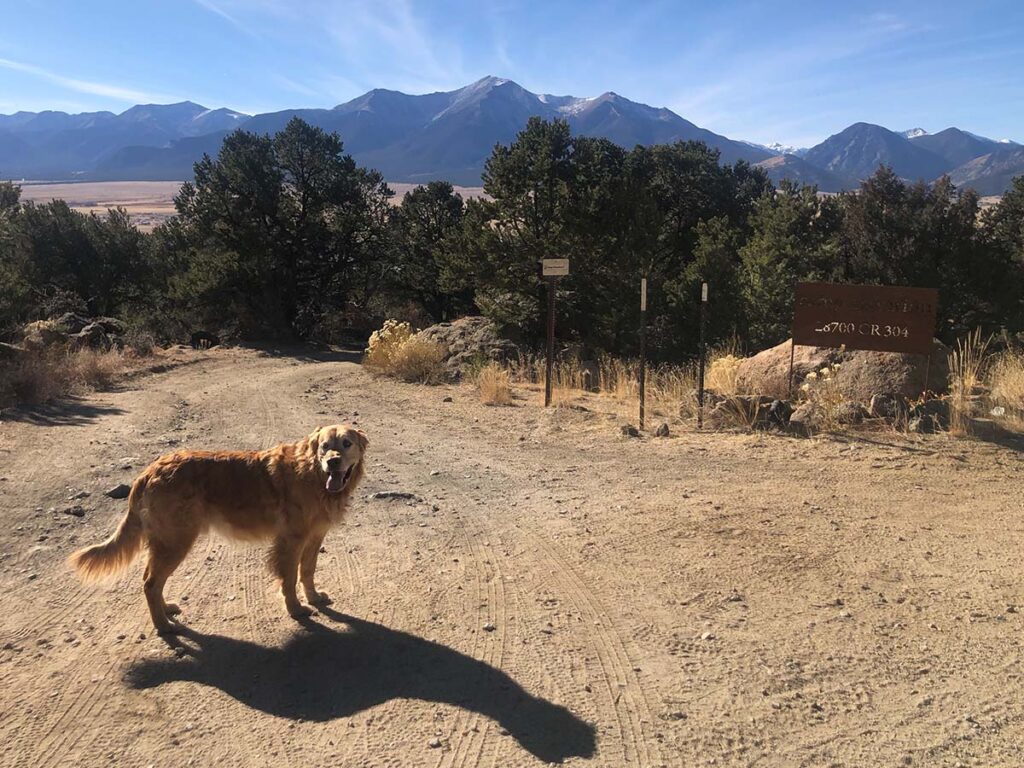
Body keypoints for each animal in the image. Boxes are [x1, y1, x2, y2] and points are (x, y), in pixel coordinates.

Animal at [68, 423, 366, 634]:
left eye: (346, 443)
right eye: (324, 446)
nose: (333, 461)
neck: (313, 474)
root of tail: (151, 470)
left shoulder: (314, 537)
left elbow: (307, 571)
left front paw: (313, 597)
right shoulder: (291, 540)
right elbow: (290, 578)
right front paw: (295, 608)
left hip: (167, 543)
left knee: (151, 581)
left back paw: (166, 611)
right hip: (176, 542)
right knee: (151, 583)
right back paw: (163, 626)